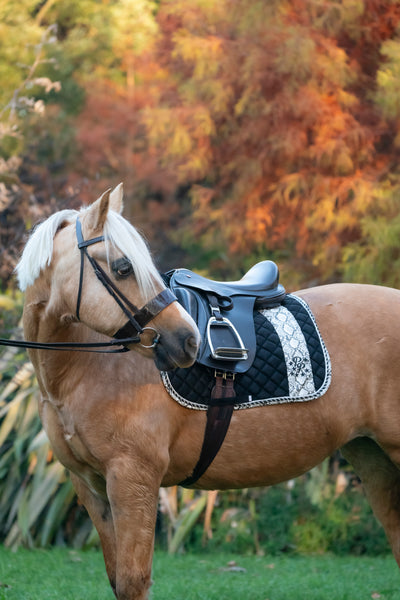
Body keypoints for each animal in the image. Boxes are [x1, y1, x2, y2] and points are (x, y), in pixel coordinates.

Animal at [17, 185, 400, 596]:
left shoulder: (133, 478)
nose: (188, 340)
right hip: (371, 456)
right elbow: (118, 580)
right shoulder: (91, 486)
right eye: (122, 268)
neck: (84, 369)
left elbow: (134, 581)